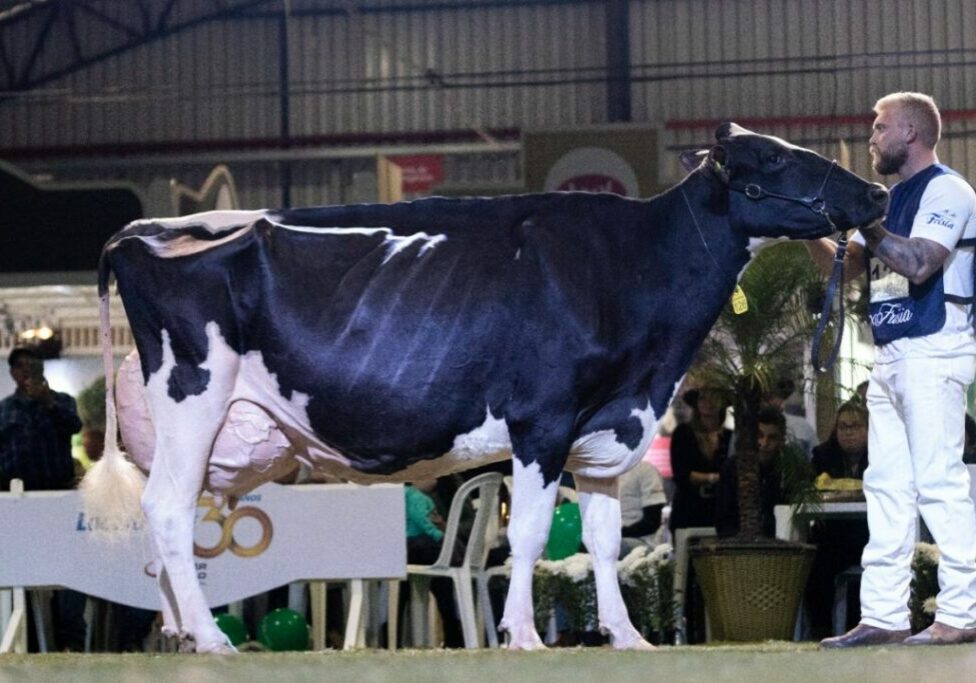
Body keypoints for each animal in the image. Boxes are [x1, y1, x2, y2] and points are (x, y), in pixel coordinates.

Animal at [82, 123, 888, 653]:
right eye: (775, 156)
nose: (877, 190)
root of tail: (139, 230)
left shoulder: (608, 428)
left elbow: (601, 541)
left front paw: (626, 636)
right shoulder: (544, 420)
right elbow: (528, 534)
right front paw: (523, 634)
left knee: (170, 523)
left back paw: (183, 632)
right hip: (192, 394)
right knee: (168, 510)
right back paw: (211, 638)